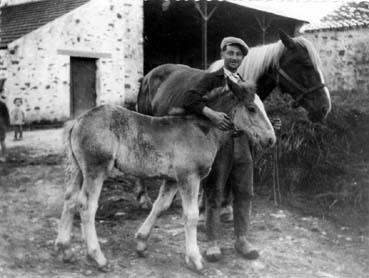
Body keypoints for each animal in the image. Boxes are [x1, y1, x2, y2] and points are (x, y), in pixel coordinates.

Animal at [134, 31, 330, 260]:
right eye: (306, 64)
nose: (324, 108)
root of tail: (150, 75)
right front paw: (205, 211)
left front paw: (226, 209)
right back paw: (143, 198)